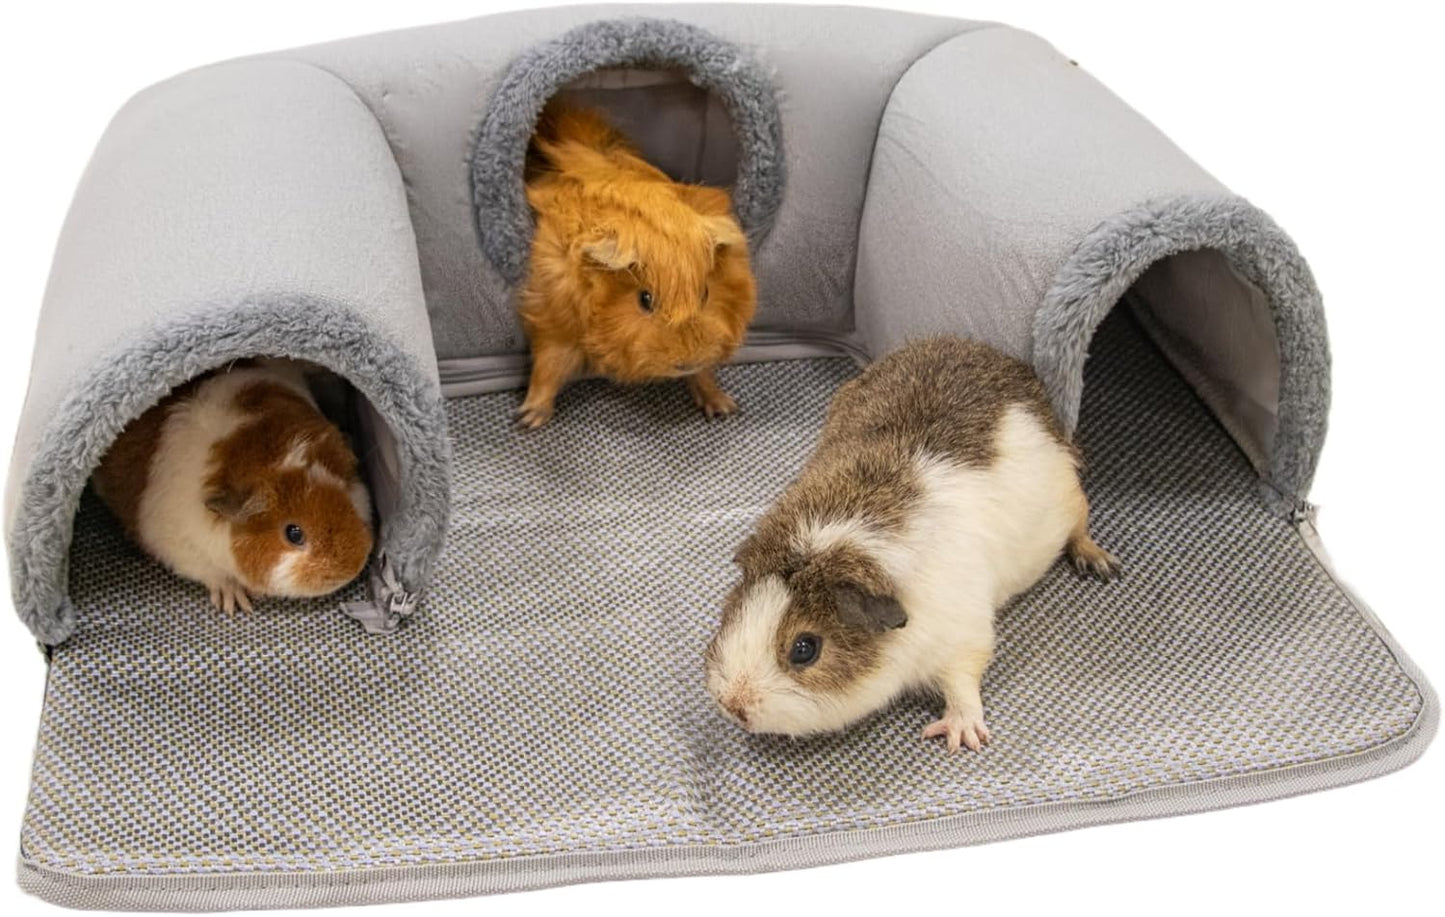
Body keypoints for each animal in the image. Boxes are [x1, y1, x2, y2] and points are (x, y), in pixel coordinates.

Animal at [91, 359, 374, 612]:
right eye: (294, 533)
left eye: (348, 498)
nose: (352, 567)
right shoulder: (177, 547)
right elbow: (212, 574)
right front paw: (235, 602)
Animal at [516, 102, 757, 428]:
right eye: (645, 299)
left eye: (706, 294)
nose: (688, 360)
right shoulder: (555, 323)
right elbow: (548, 369)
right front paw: (529, 419)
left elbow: (704, 375)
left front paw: (722, 406)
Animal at [704, 336, 1119, 752]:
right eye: (735, 610)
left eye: (805, 648)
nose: (732, 704)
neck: (832, 541)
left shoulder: (965, 637)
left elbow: (963, 683)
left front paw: (960, 737)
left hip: (1073, 498)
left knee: (1080, 531)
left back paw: (1101, 564)